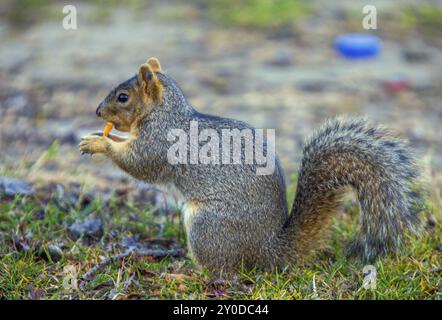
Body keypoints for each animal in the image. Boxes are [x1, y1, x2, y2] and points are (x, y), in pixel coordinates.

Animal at [79, 57, 422, 272]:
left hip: (207, 226)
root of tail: (269, 250)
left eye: (123, 97)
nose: (97, 112)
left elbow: (141, 164)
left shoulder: (161, 142)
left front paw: (99, 143)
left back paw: (186, 271)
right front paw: (99, 136)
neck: (165, 113)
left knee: (223, 271)